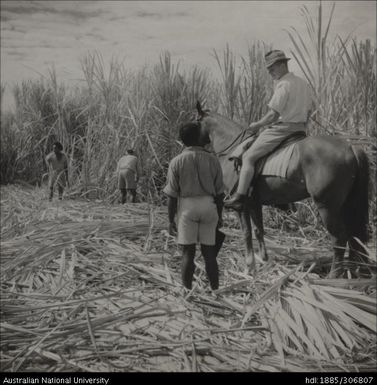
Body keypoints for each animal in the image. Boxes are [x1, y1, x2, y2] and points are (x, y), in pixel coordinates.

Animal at [195, 100, 368, 278]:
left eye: (195, 122)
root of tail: (351, 148)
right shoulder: (254, 203)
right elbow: (259, 230)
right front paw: (264, 260)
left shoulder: (242, 207)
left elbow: (247, 233)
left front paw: (250, 267)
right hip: (347, 205)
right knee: (355, 237)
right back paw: (355, 270)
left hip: (327, 207)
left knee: (339, 238)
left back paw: (334, 275)